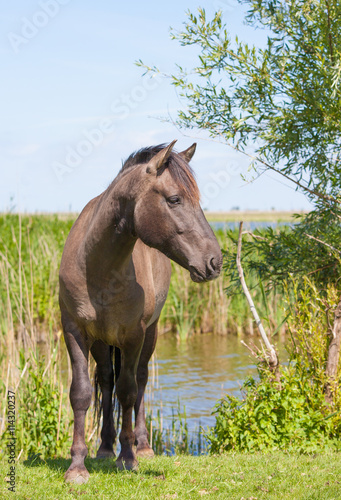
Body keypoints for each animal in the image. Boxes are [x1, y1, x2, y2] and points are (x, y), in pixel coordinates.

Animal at [59, 139, 222, 482]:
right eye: (174, 199)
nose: (215, 261)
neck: (99, 268)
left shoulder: (133, 336)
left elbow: (129, 391)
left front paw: (128, 457)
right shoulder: (74, 331)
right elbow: (82, 393)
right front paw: (77, 466)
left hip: (151, 333)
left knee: (142, 380)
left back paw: (142, 445)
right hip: (101, 342)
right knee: (106, 380)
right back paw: (104, 447)